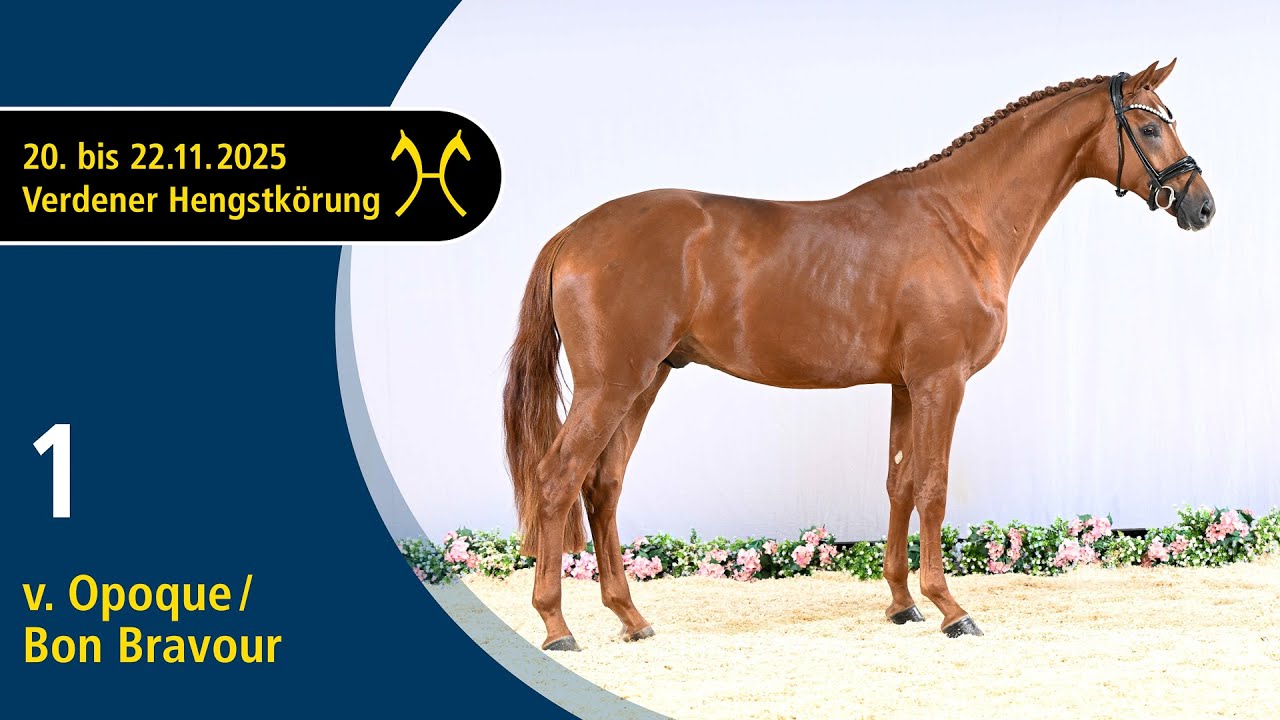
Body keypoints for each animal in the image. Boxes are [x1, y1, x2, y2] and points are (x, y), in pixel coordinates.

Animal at [503, 60, 1214, 650]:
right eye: (1149, 127)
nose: (1202, 205)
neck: (960, 222)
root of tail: (575, 233)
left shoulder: (905, 385)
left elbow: (900, 484)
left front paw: (903, 604)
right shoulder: (941, 382)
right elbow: (934, 486)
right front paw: (952, 609)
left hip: (645, 381)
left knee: (603, 484)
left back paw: (631, 617)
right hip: (610, 386)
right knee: (557, 479)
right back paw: (557, 626)